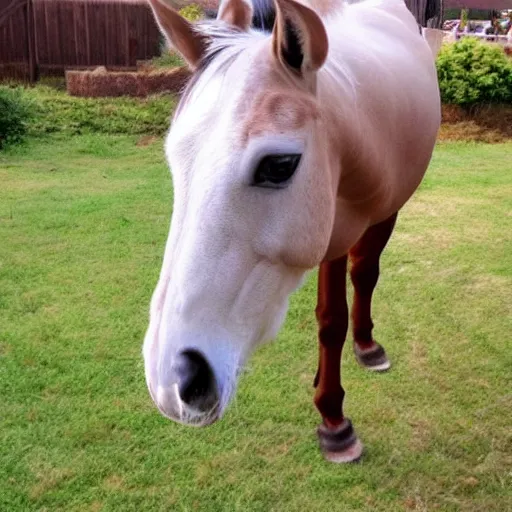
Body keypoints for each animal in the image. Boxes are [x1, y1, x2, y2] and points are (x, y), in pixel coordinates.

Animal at [143, 0, 440, 462]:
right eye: (174, 159)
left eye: (279, 165)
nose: (173, 379)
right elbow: (330, 315)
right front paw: (330, 406)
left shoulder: (379, 215)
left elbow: (348, 298)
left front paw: (336, 417)